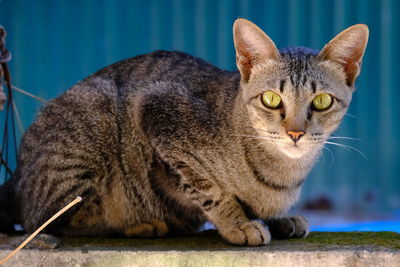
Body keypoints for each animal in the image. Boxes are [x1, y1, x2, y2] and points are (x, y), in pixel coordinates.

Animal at [0, 17, 368, 246]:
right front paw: (237, 223)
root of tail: (15, 177)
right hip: (95, 111)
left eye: (321, 101)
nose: (295, 133)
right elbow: (209, 189)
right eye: (271, 99)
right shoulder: (158, 113)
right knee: (48, 220)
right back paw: (139, 225)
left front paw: (280, 218)